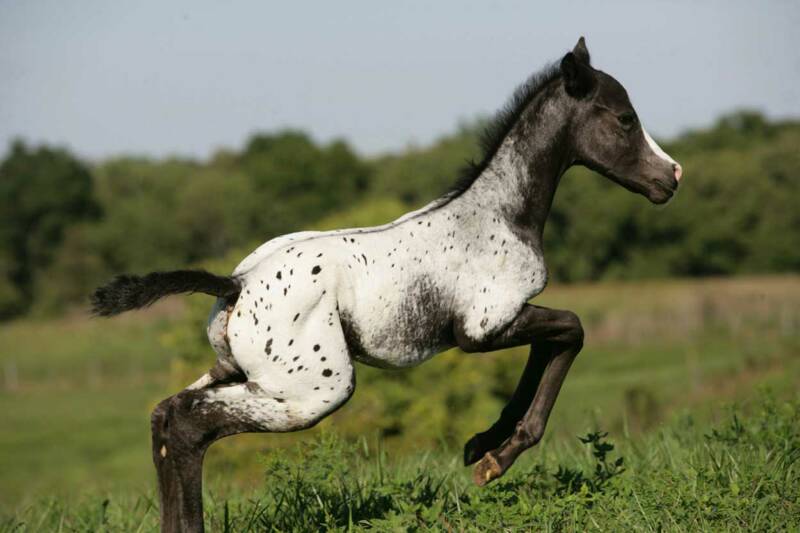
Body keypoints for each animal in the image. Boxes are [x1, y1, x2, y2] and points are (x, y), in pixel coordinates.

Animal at [92, 38, 680, 532]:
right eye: (625, 119)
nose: (671, 177)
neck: (499, 214)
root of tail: (235, 284)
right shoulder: (484, 329)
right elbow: (572, 331)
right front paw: (495, 459)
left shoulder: (510, 321)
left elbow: (549, 347)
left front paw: (480, 445)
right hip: (313, 391)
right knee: (190, 425)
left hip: (236, 371)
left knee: (165, 416)